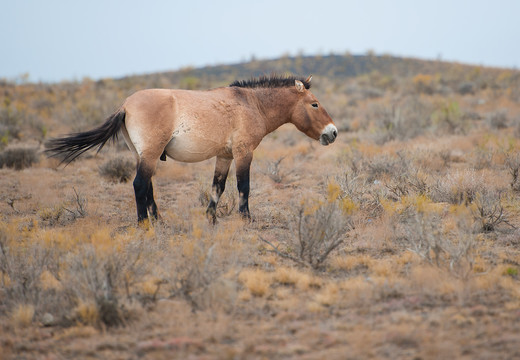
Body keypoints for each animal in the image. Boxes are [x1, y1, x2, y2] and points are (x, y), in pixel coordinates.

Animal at [44, 74, 338, 224]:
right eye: (314, 104)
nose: (333, 132)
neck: (250, 104)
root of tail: (125, 105)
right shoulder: (243, 153)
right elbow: (244, 187)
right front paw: (246, 219)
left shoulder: (225, 156)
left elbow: (217, 187)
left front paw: (210, 218)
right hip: (150, 154)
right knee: (140, 185)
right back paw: (144, 225)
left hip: (143, 155)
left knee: (148, 186)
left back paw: (158, 220)